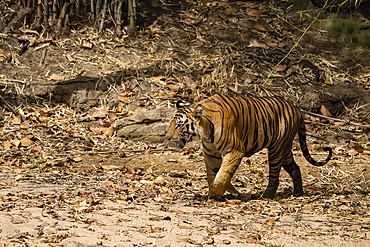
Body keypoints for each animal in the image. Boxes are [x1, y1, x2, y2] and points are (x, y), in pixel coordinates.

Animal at [165, 92, 332, 199]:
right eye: (171, 123)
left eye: (179, 125)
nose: (167, 137)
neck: (204, 131)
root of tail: (296, 108)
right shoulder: (211, 153)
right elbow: (213, 173)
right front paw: (216, 193)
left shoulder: (234, 151)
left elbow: (223, 174)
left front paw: (216, 193)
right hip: (285, 150)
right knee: (295, 168)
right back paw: (297, 193)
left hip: (276, 149)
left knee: (274, 176)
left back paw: (266, 196)